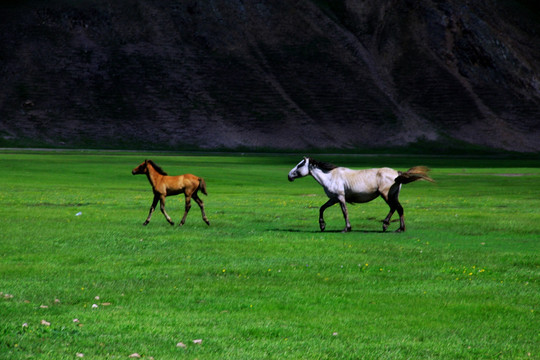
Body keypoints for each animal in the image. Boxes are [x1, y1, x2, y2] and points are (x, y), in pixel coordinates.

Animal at [286, 158, 434, 233]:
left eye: (299, 164)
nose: (289, 176)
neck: (330, 176)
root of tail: (397, 173)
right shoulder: (333, 199)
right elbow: (322, 208)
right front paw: (322, 226)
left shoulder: (340, 198)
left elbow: (345, 212)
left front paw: (347, 228)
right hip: (392, 196)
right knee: (399, 209)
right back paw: (399, 228)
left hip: (386, 195)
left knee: (395, 208)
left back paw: (387, 226)